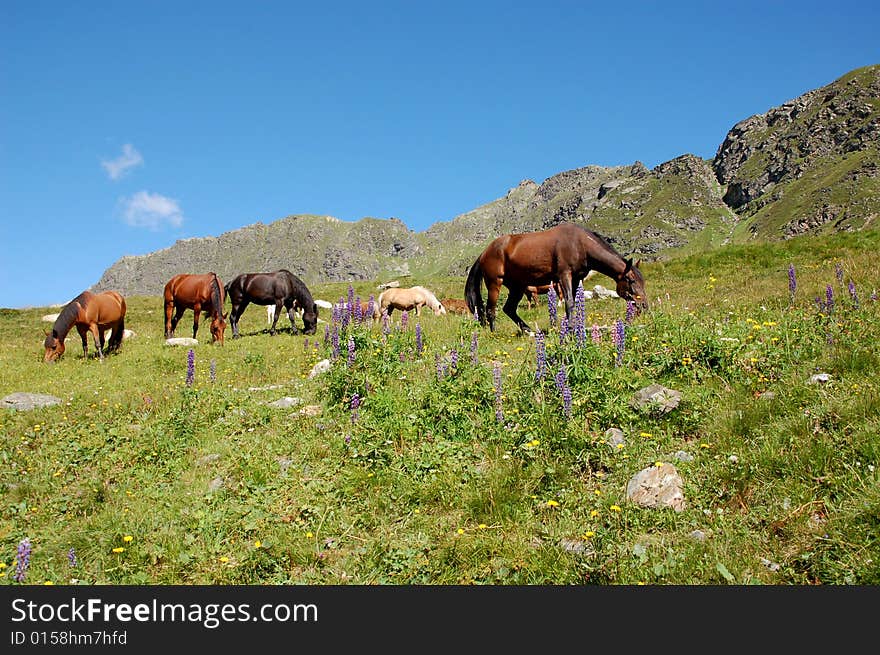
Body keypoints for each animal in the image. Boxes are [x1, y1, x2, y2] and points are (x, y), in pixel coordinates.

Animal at [468, 223, 648, 334]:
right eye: (631, 281)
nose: (644, 306)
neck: (580, 244)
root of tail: (484, 253)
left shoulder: (576, 279)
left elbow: (574, 302)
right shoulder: (564, 276)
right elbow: (569, 302)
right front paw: (571, 328)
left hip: (517, 287)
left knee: (509, 309)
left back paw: (529, 331)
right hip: (495, 283)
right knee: (491, 309)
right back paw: (494, 332)